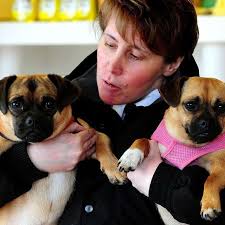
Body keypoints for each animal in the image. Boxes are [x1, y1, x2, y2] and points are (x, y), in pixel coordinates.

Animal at [0, 74, 126, 225]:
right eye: (16, 105)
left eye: (49, 104)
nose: (32, 120)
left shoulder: (88, 134)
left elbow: (102, 139)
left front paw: (113, 168)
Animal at [118, 76, 225, 222]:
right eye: (190, 105)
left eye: (220, 107)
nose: (207, 122)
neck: (187, 143)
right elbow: (142, 139)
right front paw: (130, 156)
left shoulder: (220, 166)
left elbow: (211, 179)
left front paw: (210, 204)